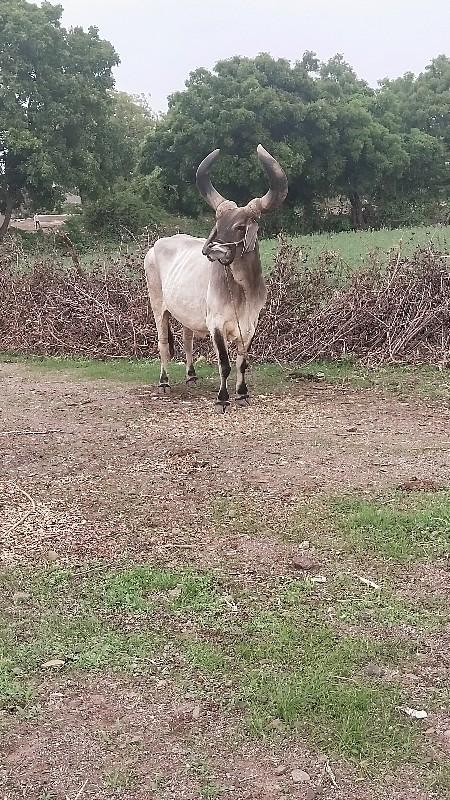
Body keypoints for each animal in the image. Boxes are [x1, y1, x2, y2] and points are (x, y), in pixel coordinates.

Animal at [144, 142, 288, 412]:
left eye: (241, 226)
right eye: (218, 224)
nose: (213, 250)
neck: (242, 289)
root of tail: (158, 244)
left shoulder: (251, 325)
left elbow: (242, 363)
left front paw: (242, 394)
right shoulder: (216, 325)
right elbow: (224, 364)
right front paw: (222, 398)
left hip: (186, 314)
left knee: (187, 340)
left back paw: (191, 377)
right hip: (158, 307)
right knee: (163, 345)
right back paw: (164, 382)